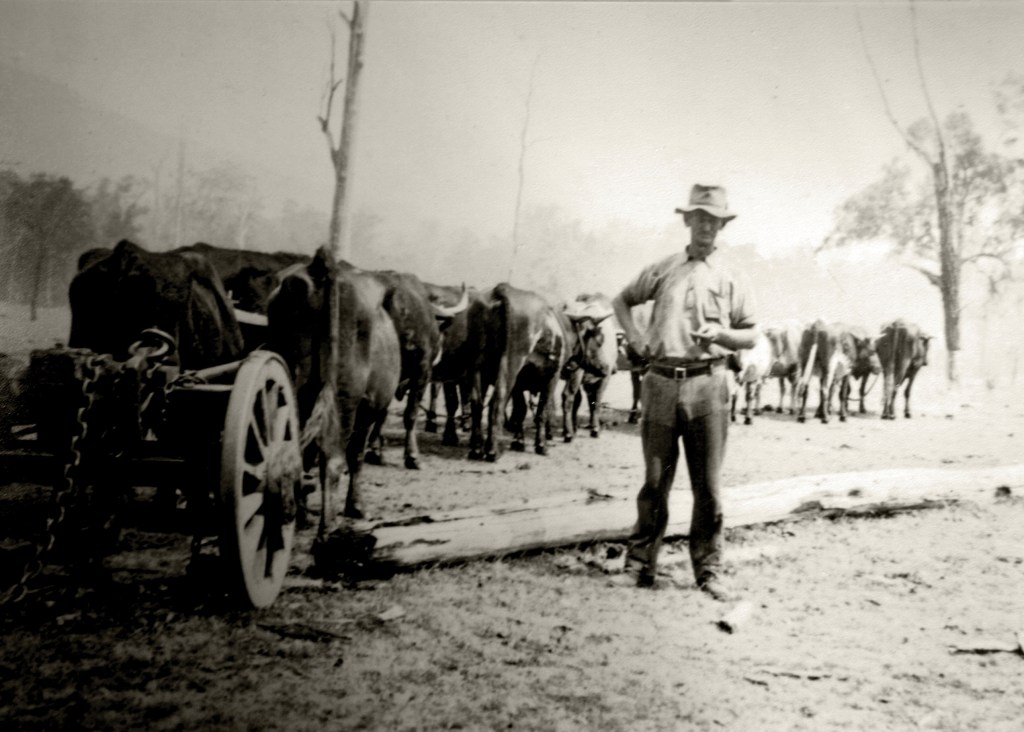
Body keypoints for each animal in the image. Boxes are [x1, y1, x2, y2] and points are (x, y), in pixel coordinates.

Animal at [266, 248, 401, 520]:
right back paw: (327, 527)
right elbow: (356, 455)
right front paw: (356, 506)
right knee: (332, 459)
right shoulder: (367, 410)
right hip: (343, 397)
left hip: (293, 384)